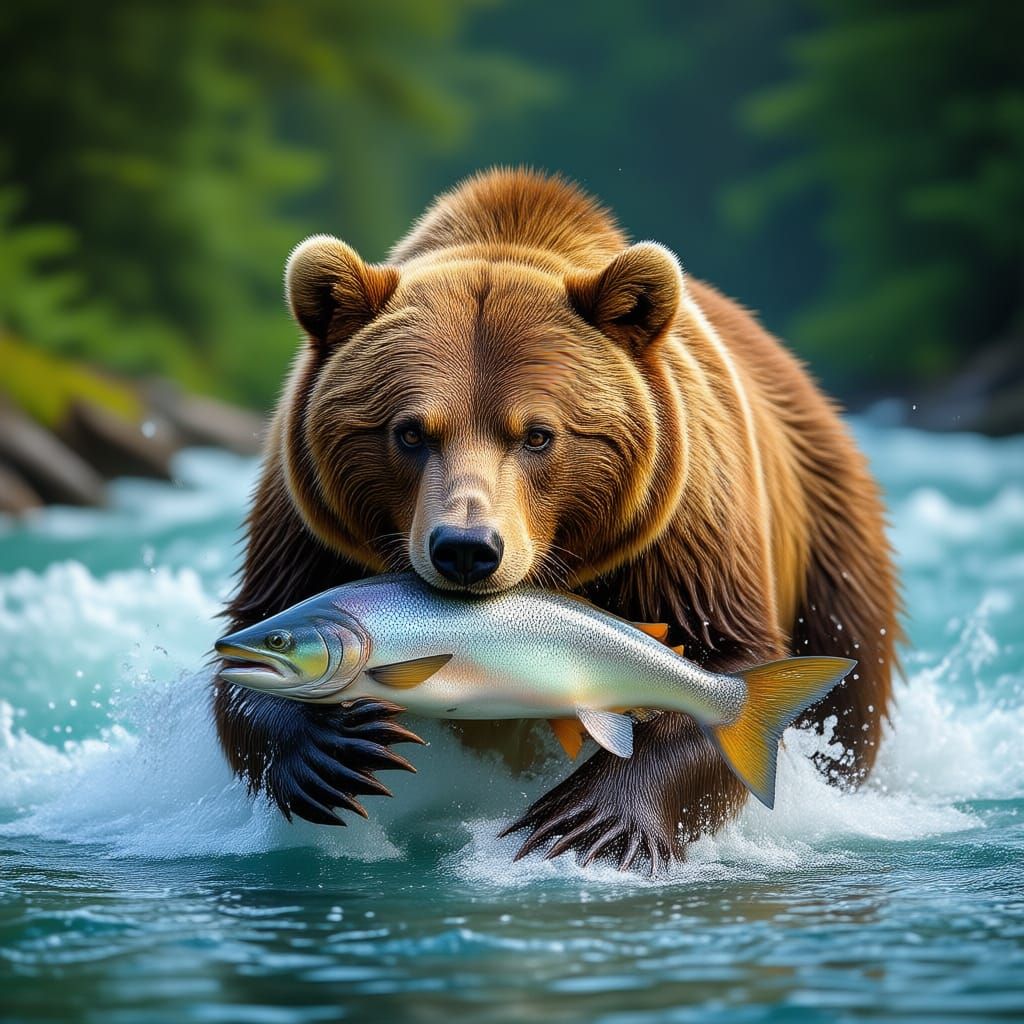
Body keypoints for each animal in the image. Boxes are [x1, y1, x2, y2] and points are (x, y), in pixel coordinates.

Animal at [214, 168, 899, 871]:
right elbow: (253, 634)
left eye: (538, 434)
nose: (466, 549)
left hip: (828, 538)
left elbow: (725, 651)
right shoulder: (305, 524)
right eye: (409, 431)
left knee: (847, 692)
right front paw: (335, 749)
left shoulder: (686, 528)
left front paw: (589, 818)